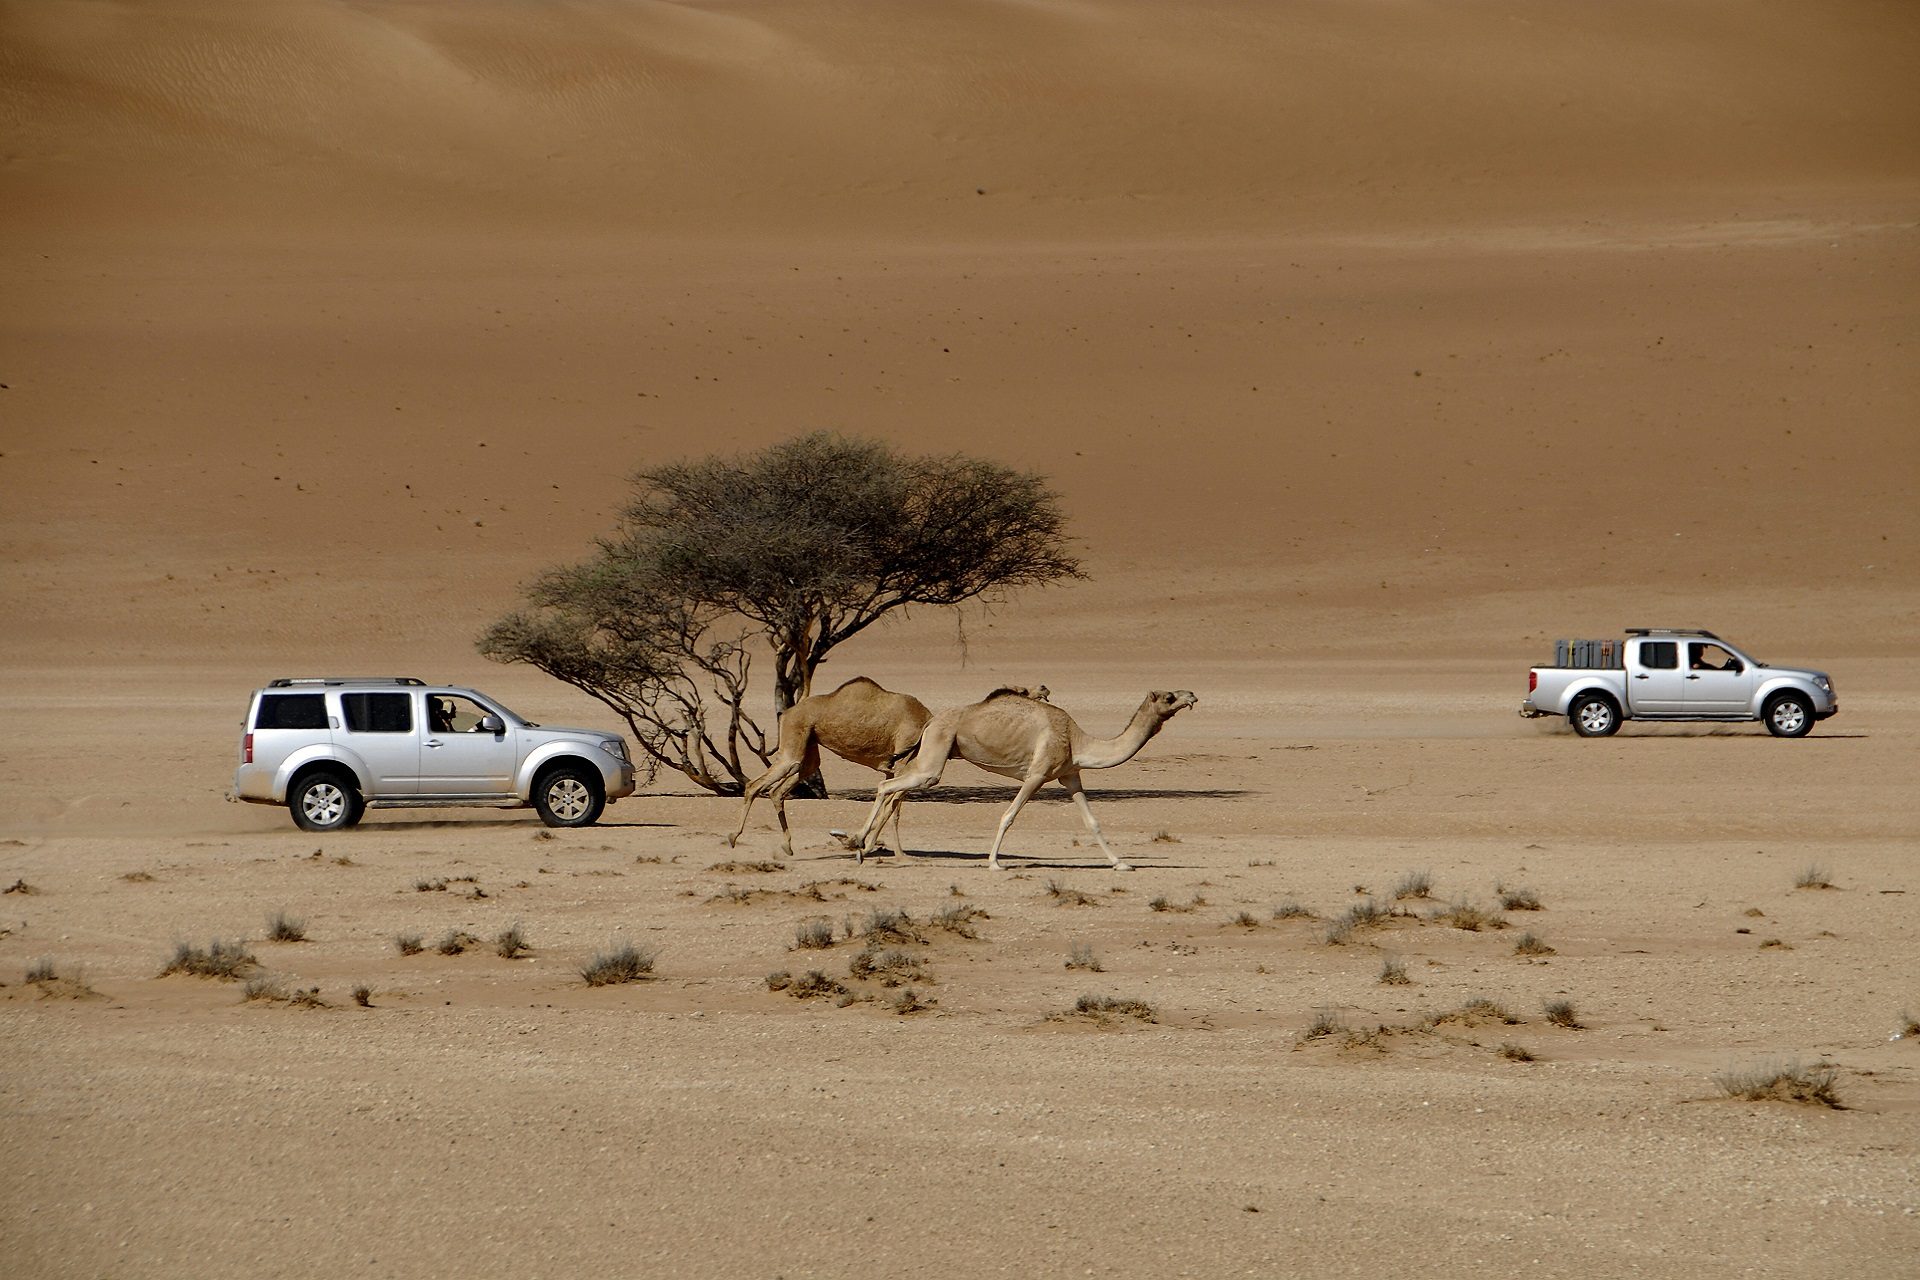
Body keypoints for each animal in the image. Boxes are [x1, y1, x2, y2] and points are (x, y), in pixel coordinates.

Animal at [721, 675, 1052, 855]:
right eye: (1026, 692)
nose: (1045, 688)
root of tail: (787, 712)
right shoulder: (903, 762)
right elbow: (893, 806)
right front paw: (881, 849)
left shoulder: (897, 766)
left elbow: (892, 806)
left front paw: (875, 846)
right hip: (795, 740)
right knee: (756, 785)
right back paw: (734, 837)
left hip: (809, 750)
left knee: (779, 790)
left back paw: (788, 846)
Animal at [848, 690, 1190, 871]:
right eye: (1169, 697)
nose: (1191, 696)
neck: (1077, 741)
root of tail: (931, 722)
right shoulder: (1037, 774)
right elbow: (1008, 815)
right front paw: (994, 863)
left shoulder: (1070, 775)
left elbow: (1092, 821)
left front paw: (1121, 863)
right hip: (936, 753)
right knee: (888, 785)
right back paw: (858, 844)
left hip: (932, 751)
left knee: (894, 785)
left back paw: (862, 845)